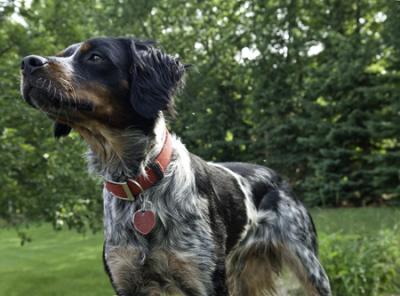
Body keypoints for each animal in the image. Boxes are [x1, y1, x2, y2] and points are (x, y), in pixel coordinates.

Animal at [19, 37, 332, 296]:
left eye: (95, 57)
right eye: (63, 54)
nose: (27, 62)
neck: (139, 181)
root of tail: (276, 175)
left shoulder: (205, 280)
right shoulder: (126, 280)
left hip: (309, 266)